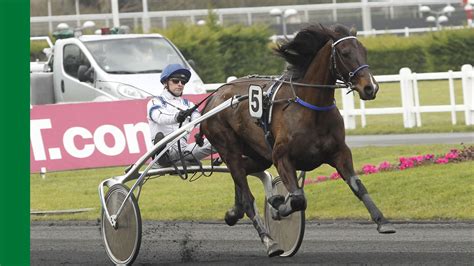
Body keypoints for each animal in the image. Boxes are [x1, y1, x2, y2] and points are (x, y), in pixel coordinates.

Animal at [200, 23, 396, 256]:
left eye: (364, 51)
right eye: (345, 53)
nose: (370, 87)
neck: (312, 109)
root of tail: (213, 97)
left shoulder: (339, 152)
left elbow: (358, 186)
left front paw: (382, 221)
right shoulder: (282, 157)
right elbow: (298, 199)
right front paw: (278, 206)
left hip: (256, 153)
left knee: (242, 172)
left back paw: (234, 212)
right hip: (228, 146)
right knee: (245, 191)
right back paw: (269, 241)